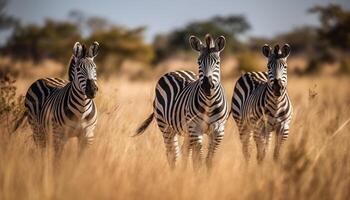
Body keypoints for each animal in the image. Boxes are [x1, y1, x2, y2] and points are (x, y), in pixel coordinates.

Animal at [135, 34, 230, 170]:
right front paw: (198, 175)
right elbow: (198, 160)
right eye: (199, 62)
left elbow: (208, 161)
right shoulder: (195, 130)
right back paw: (175, 173)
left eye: (218, 62)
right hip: (166, 126)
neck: (209, 103)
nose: (207, 86)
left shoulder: (218, 131)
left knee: (184, 152)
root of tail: (176, 70)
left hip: (186, 131)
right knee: (172, 154)